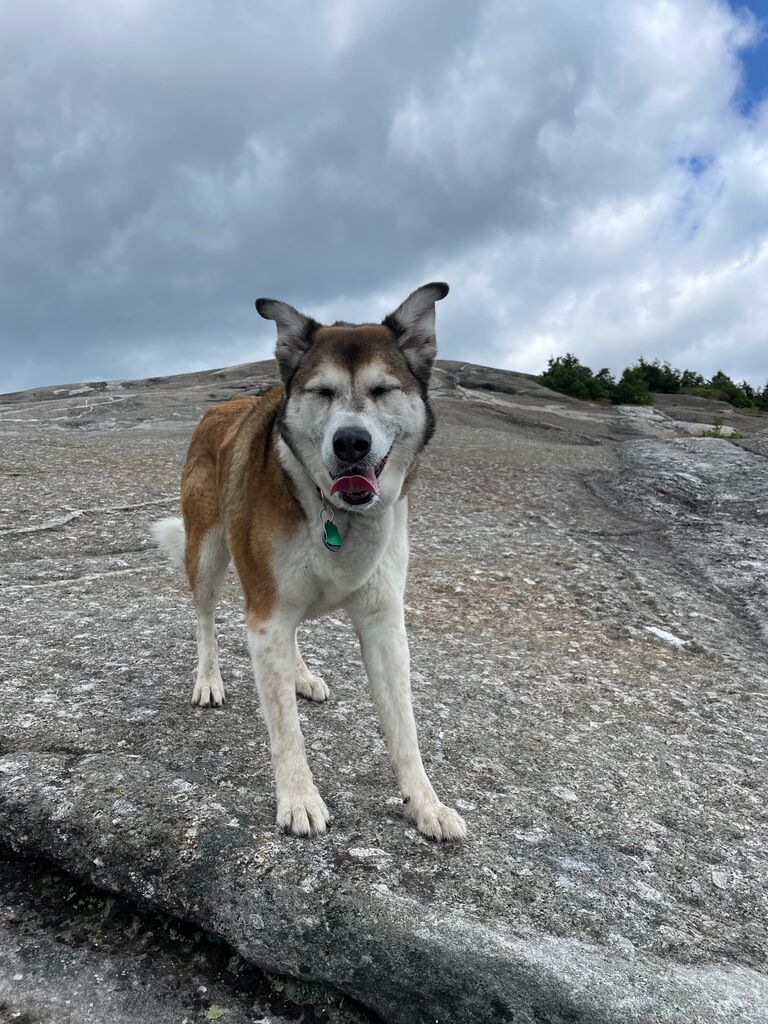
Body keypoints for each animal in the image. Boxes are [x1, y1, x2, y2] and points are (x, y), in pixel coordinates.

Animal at [149, 286, 462, 839]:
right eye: (321, 392)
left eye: (382, 389)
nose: (351, 442)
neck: (334, 512)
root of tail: (221, 406)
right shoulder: (266, 613)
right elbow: (285, 726)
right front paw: (298, 798)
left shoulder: (383, 621)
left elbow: (404, 728)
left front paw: (426, 804)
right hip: (206, 549)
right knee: (205, 616)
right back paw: (208, 678)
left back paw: (300, 674)